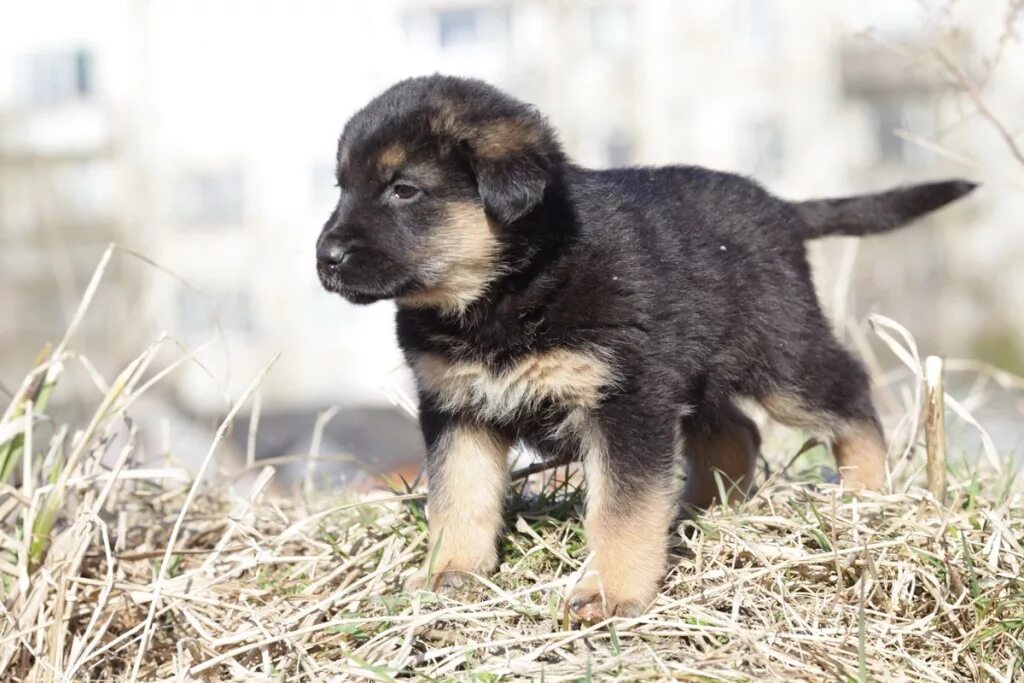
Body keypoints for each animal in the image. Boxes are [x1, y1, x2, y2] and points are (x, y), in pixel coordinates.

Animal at [315, 76, 970, 626]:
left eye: (404, 190)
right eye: (342, 188)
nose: (325, 259)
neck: (510, 288)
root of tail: (783, 210)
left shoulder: (625, 400)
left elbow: (620, 509)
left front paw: (608, 594)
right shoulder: (458, 408)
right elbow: (459, 497)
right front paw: (451, 574)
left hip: (780, 358)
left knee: (849, 391)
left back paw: (867, 494)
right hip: (695, 372)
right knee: (736, 433)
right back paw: (698, 511)